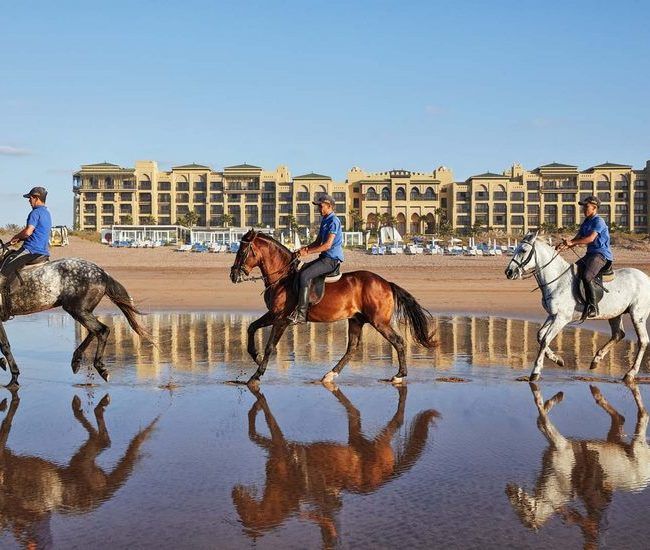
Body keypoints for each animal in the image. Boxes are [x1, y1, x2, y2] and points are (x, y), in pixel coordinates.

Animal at [0, 244, 148, 386]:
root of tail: (102, 273)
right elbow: (4, 345)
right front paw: (4, 365)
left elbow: (5, 346)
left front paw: (13, 377)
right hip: (82, 310)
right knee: (93, 332)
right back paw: (76, 361)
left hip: (76, 310)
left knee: (102, 330)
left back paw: (100, 368)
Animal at [228, 231, 436, 386]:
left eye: (242, 251)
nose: (233, 275)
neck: (283, 277)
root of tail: (386, 284)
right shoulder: (273, 315)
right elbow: (251, 327)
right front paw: (255, 355)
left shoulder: (281, 319)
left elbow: (270, 345)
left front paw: (256, 375)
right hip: (356, 320)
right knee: (352, 348)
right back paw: (329, 375)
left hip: (379, 322)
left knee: (398, 341)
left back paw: (399, 375)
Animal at [230, 386, 438, 548]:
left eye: (242, 512)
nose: (234, 492)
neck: (284, 487)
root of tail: (383, 478)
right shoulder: (276, 448)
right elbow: (253, 435)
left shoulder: (280, 446)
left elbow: (266, 421)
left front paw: (258, 401)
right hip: (357, 440)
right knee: (357, 414)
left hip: (373, 446)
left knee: (396, 422)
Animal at [504, 233, 648, 384]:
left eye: (523, 250)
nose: (509, 272)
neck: (557, 281)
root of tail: (645, 277)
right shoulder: (553, 315)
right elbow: (540, 335)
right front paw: (557, 359)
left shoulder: (562, 318)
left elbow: (545, 339)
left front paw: (536, 371)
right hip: (615, 314)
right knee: (618, 334)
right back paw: (596, 360)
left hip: (637, 315)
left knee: (643, 341)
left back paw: (630, 373)